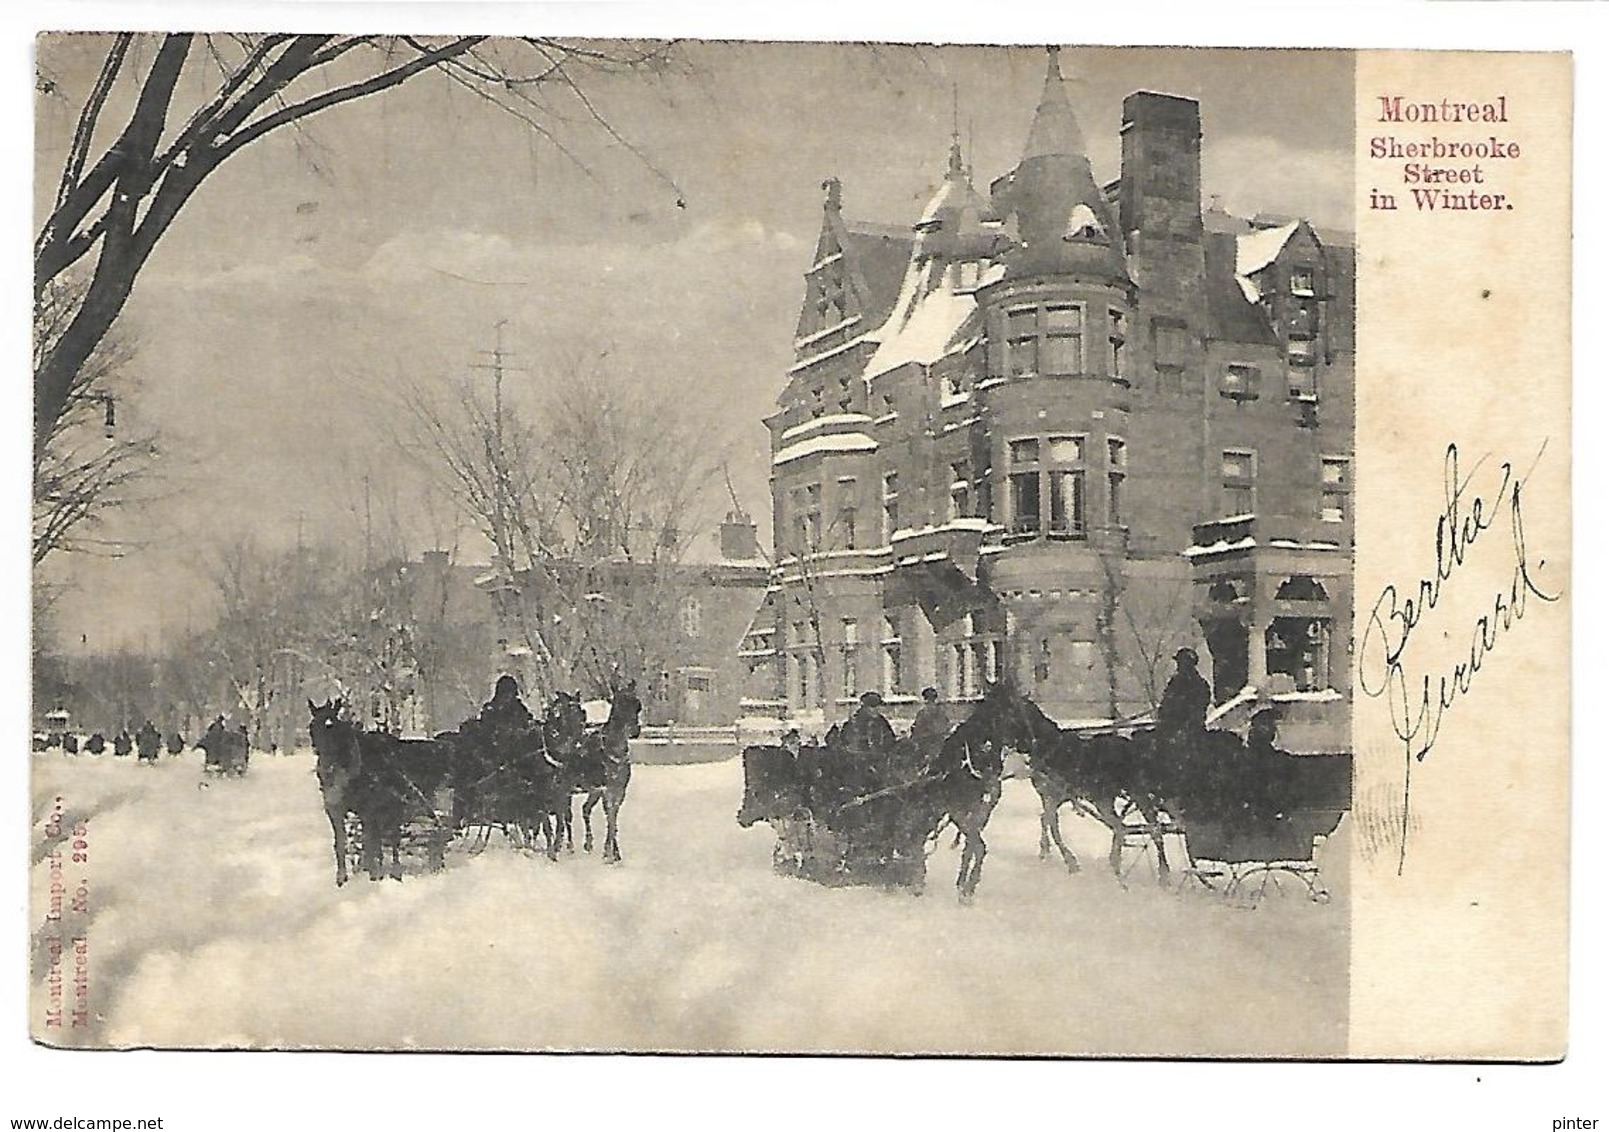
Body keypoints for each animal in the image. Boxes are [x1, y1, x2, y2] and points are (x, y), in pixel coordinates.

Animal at [307, 697, 453, 887]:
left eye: (333, 728)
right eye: (312, 728)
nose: (325, 770)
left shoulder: (368, 811)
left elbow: (370, 843)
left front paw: (374, 875)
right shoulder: (335, 809)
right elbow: (341, 842)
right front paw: (342, 877)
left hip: (400, 808)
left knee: (396, 838)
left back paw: (397, 871)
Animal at [579, 684, 640, 861]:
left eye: (637, 704)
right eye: (618, 704)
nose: (635, 730)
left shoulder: (619, 790)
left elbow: (613, 818)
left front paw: (614, 852)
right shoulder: (606, 790)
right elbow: (610, 817)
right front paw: (609, 852)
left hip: (594, 790)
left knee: (585, 809)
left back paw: (588, 843)